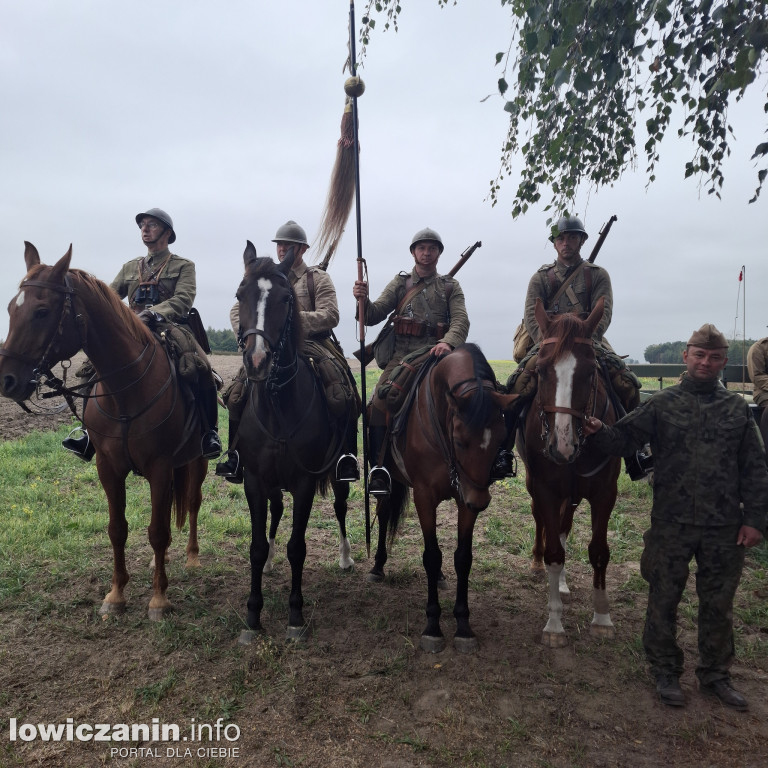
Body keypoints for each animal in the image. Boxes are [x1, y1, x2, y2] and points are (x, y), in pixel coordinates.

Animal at [0, 243, 208, 620]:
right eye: (10, 308)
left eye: (42, 311)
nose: (7, 380)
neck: (126, 388)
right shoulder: (108, 468)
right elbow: (117, 530)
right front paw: (116, 595)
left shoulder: (160, 468)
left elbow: (158, 532)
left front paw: (159, 599)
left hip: (197, 460)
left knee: (194, 502)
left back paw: (192, 557)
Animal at [236, 240, 356, 640]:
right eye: (240, 294)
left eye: (287, 298)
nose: (257, 361)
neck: (278, 403)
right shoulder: (255, 480)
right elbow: (257, 546)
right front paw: (253, 616)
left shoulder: (305, 482)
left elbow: (298, 548)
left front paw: (295, 615)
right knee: (276, 511)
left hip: (340, 471)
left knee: (340, 507)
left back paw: (346, 557)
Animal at [370, 344, 516, 652]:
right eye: (460, 441)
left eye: (501, 438)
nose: (481, 502)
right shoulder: (424, 498)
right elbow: (432, 556)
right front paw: (433, 625)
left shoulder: (466, 500)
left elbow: (462, 557)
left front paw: (463, 625)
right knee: (384, 511)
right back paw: (377, 565)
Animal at [512, 296, 620, 644]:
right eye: (542, 370)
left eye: (590, 370)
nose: (561, 446)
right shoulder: (545, 489)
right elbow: (554, 554)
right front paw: (554, 624)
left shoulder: (604, 493)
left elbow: (598, 551)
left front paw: (602, 618)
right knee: (545, 528)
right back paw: (537, 566)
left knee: (563, 526)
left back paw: (560, 584)